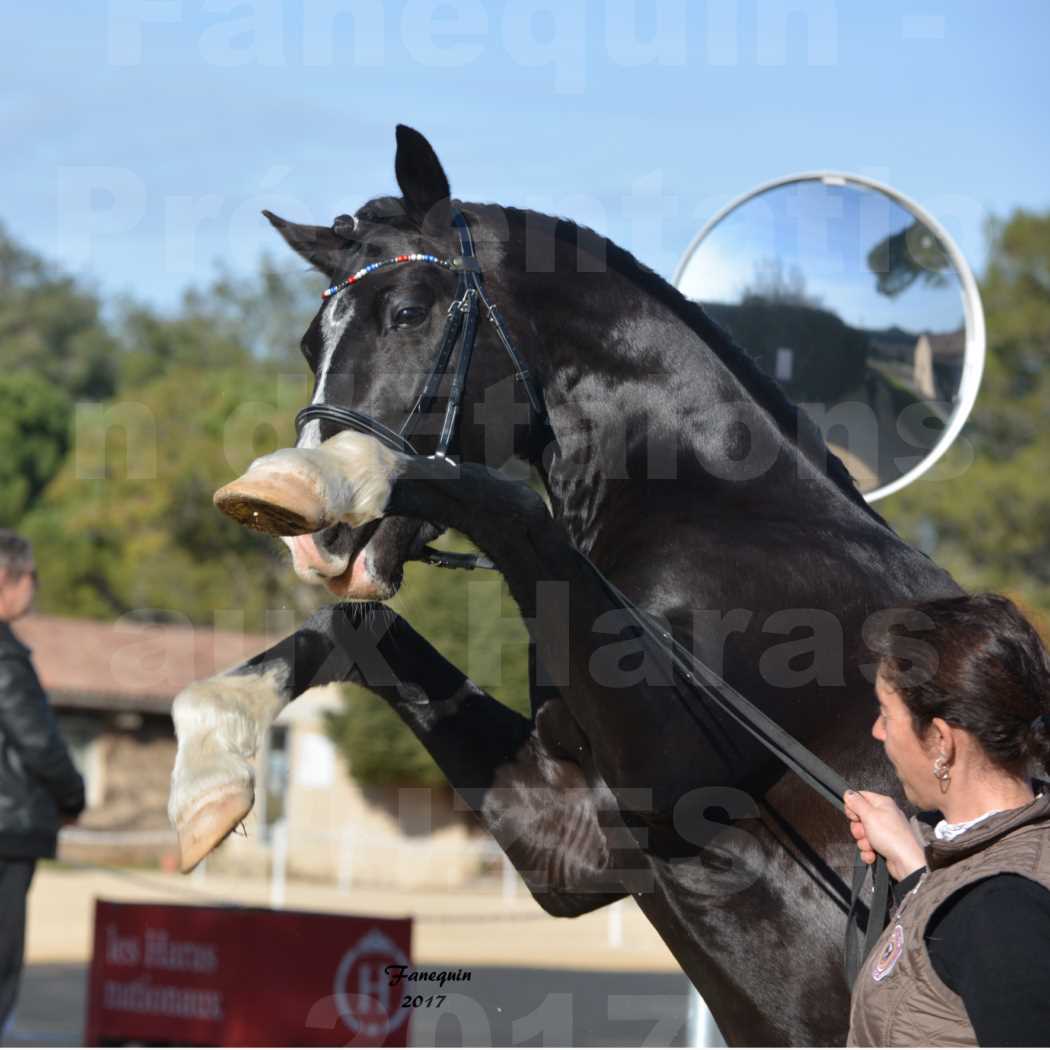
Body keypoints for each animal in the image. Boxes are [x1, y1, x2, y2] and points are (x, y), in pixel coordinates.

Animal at [168, 124, 961, 1041]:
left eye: (408, 313)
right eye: (310, 342)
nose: (316, 543)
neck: (724, 511)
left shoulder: (674, 779)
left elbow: (492, 498)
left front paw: (304, 478)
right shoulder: (575, 841)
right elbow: (356, 629)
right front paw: (208, 777)